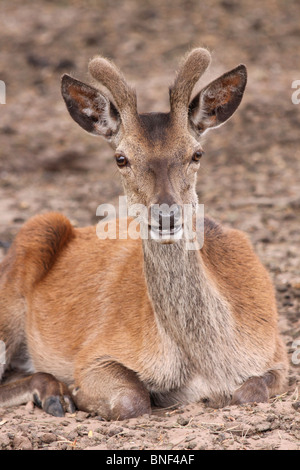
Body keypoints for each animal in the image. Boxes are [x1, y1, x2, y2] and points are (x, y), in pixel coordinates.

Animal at [0, 49, 288, 420]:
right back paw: (54, 393)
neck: (209, 366)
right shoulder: (95, 353)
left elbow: (249, 391)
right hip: (25, 257)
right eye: (121, 158)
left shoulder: (277, 352)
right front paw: (77, 392)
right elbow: (131, 398)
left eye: (197, 153)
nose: (165, 215)